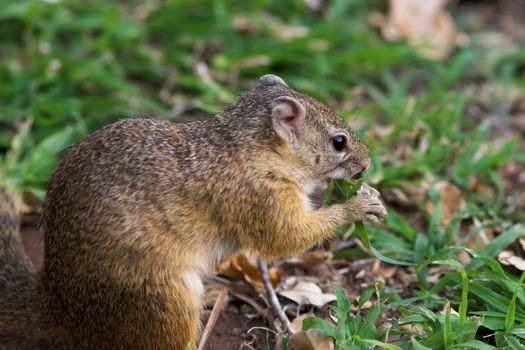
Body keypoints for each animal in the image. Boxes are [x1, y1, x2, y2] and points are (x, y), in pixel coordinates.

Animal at [0, 73, 384, 348]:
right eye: (338, 142)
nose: (367, 164)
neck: (252, 149)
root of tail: (61, 305)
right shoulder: (260, 199)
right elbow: (286, 239)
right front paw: (359, 205)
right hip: (165, 297)